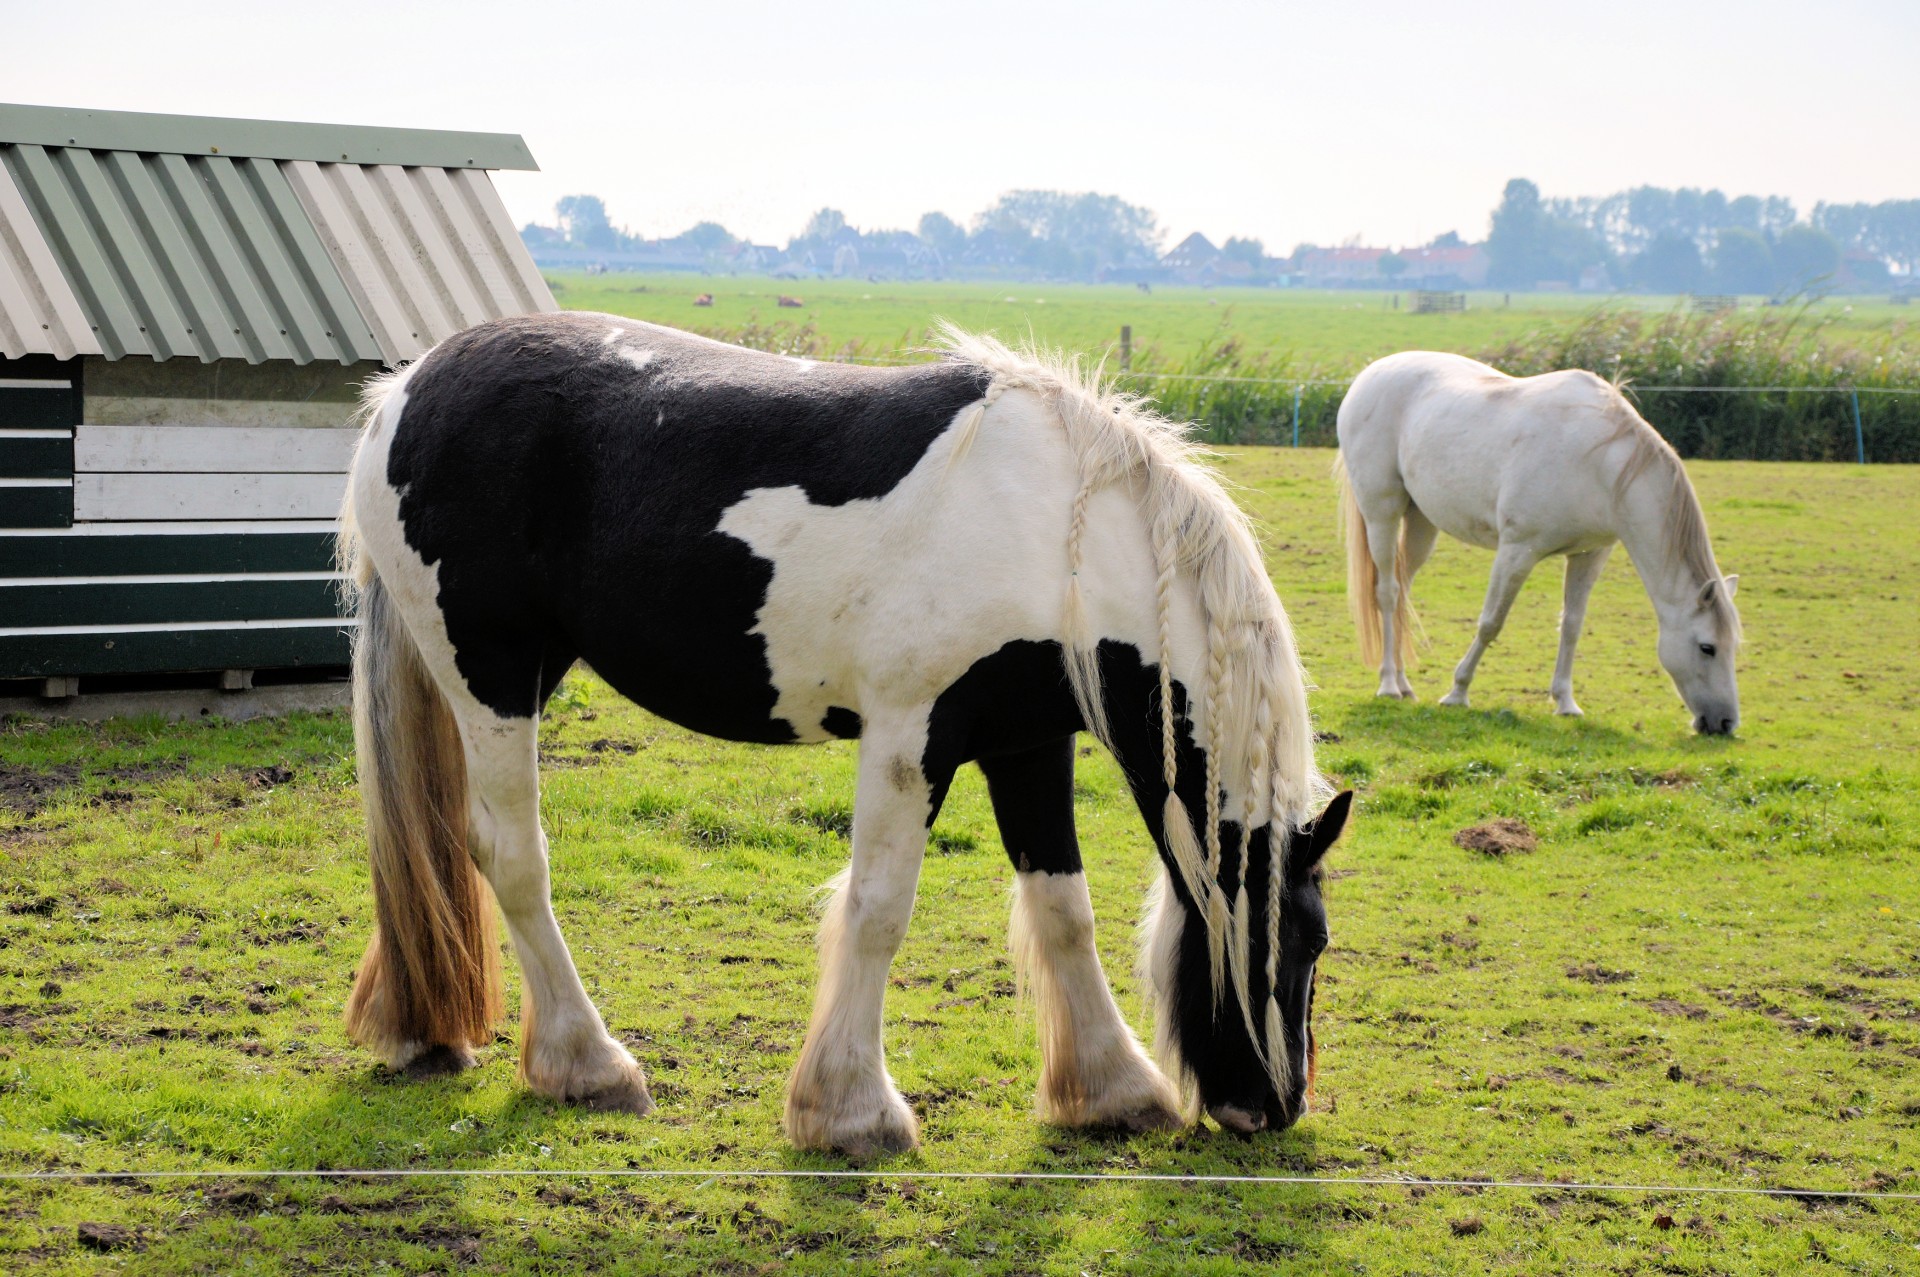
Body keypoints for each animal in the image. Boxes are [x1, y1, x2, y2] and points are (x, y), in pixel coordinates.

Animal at [334, 311, 1351, 1152]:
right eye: (1308, 940)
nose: (1276, 1106)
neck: (1055, 535)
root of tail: (406, 392)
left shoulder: (1027, 740)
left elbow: (1064, 909)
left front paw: (1114, 1089)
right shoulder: (911, 735)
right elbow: (878, 910)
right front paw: (852, 1112)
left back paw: (431, 1036)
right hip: (494, 675)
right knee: (511, 855)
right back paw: (588, 1064)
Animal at [1336, 353, 1743, 733]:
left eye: (1734, 646)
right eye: (1707, 647)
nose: (1725, 723)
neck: (1599, 463)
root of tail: (1370, 374)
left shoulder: (1589, 554)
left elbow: (1572, 625)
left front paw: (1565, 702)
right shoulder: (1517, 550)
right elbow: (1491, 622)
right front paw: (1457, 692)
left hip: (1422, 522)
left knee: (1402, 590)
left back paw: (1404, 684)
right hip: (1382, 513)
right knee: (1387, 592)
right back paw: (1388, 685)